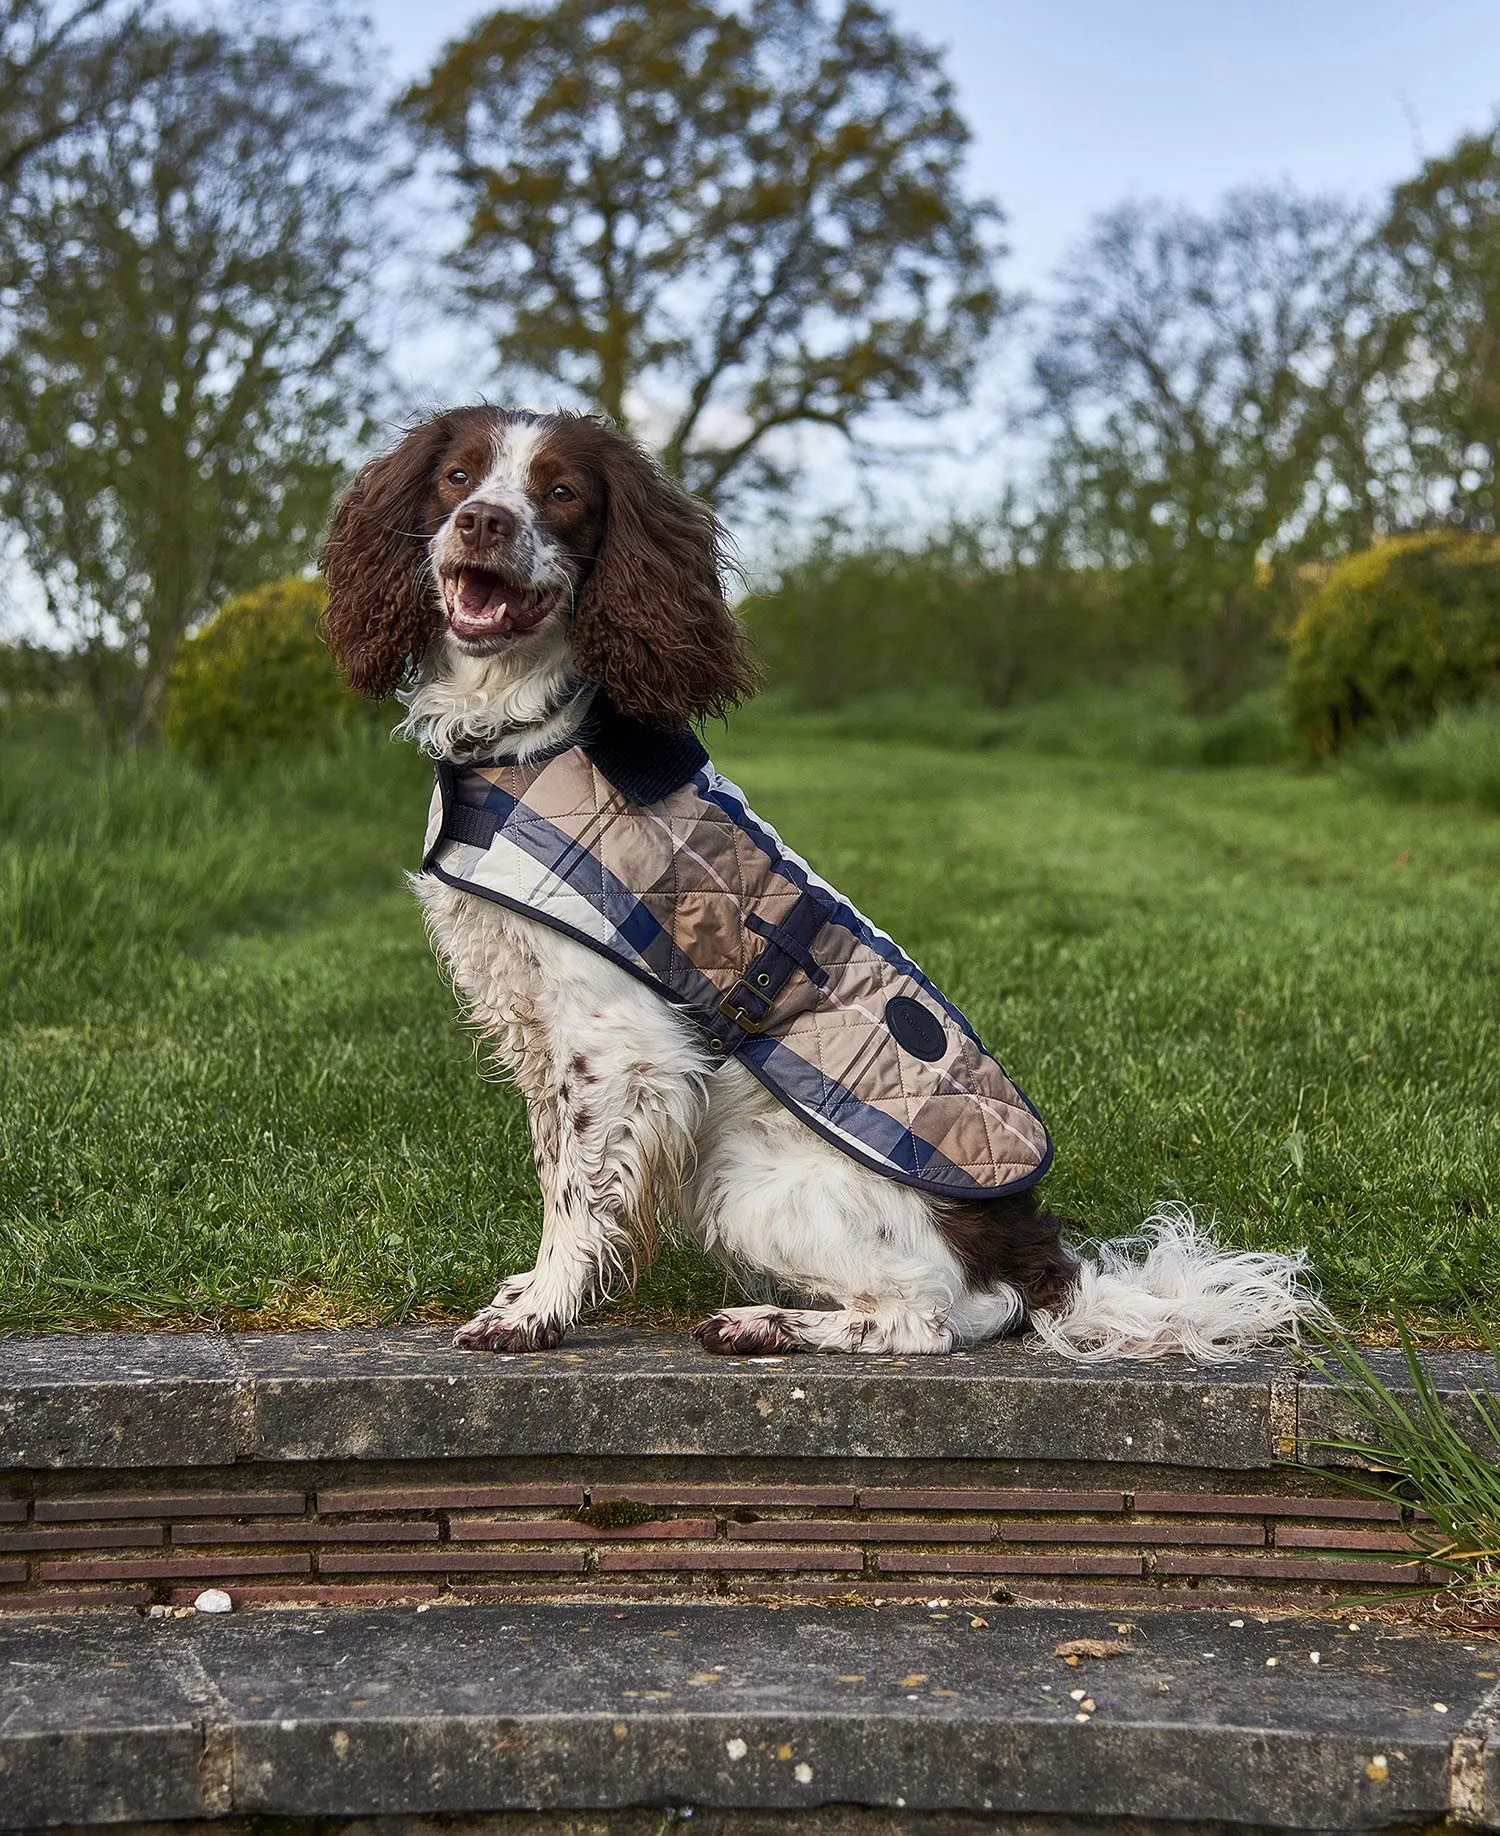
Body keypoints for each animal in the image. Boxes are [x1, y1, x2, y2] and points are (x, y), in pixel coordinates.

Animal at [319, 416, 1307, 1365]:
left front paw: (538, 1315)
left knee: (937, 1316)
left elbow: (578, 1193)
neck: (528, 732)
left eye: (561, 493)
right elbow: (554, 1165)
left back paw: (763, 1325)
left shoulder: (618, 1041)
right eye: (457, 476)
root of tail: (1039, 1260)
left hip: (744, 1178)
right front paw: (530, 1291)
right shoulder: (537, 1026)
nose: (484, 521)